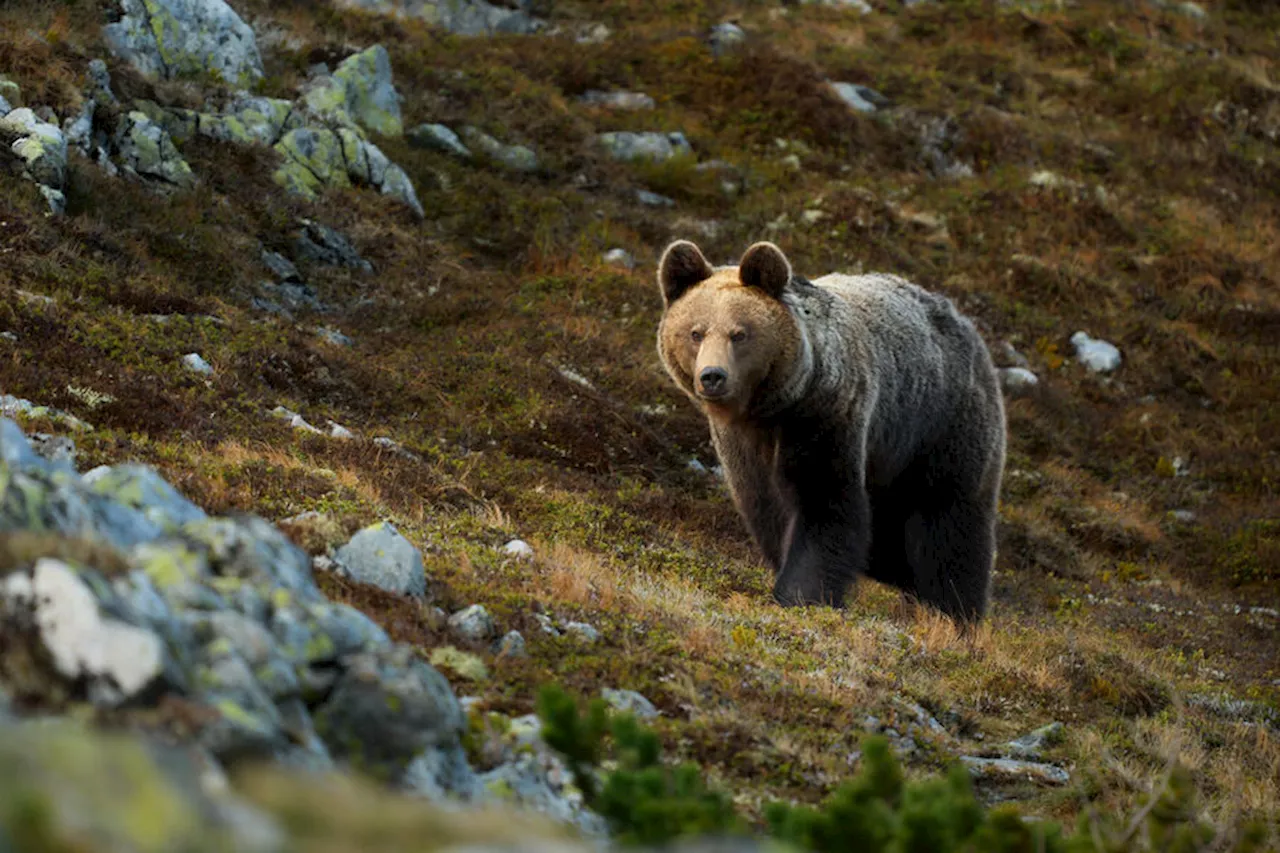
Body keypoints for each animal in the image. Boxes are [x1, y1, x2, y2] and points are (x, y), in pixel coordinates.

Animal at [660, 235, 1008, 622]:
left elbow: (825, 507)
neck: (771, 408)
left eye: (739, 334)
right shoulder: (743, 447)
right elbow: (768, 510)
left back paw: (953, 611)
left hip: (939, 427)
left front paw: (801, 594)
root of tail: (969, 328)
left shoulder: (826, 417)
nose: (712, 376)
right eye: (696, 332)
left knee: (948, 523)